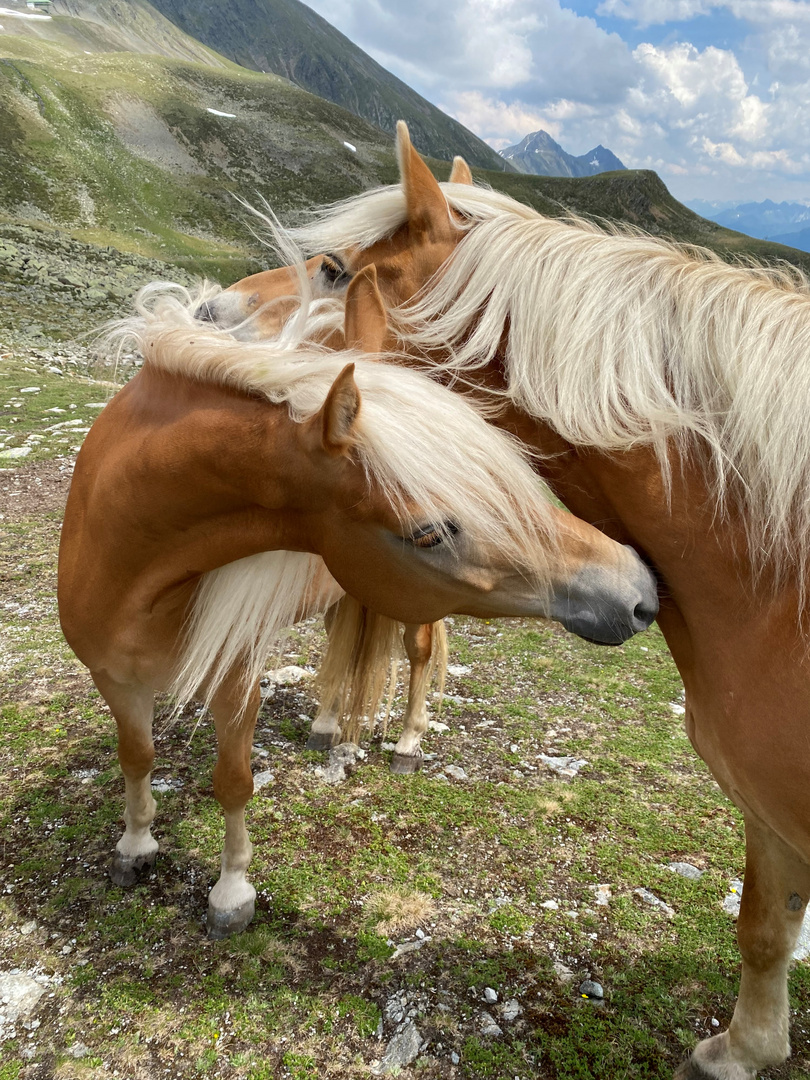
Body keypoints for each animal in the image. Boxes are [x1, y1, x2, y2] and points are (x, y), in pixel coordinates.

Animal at [57, 278, 656, 937]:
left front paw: (231, 893)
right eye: (430, 533)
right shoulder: (114, 679)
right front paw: (135, 847)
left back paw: (408, 745)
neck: (134, 574)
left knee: (417, 656)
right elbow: (136, 758)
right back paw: (324, 726)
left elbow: (233, 782)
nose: (639, 590)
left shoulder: (234, 683)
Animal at [223, 124, 810, 1080]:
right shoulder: (768, 813)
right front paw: (740, 1050)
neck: (776, 571)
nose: (215, 312)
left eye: (336, 270)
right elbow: (763, 926)